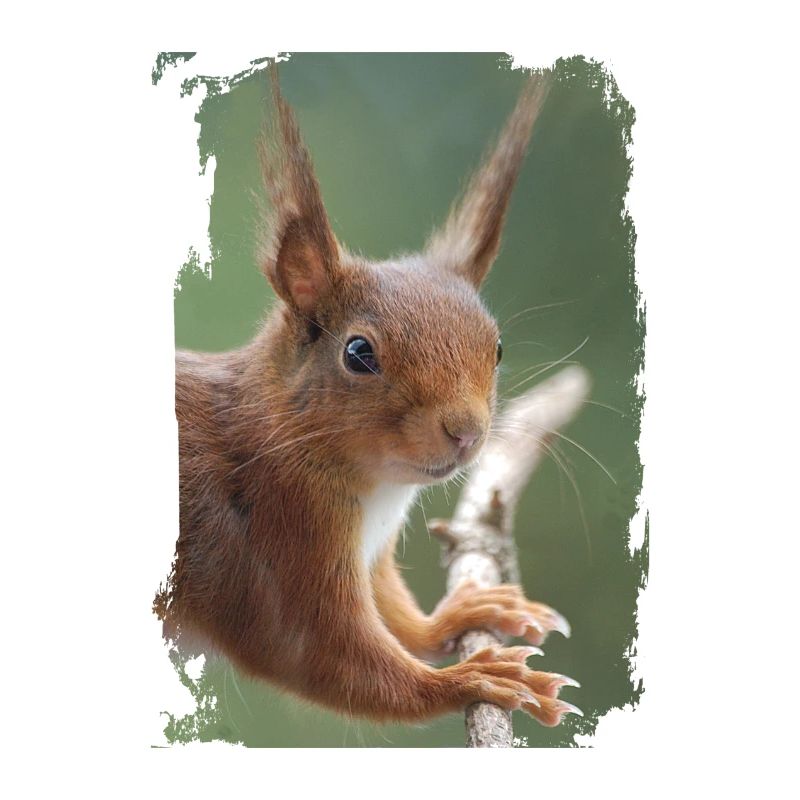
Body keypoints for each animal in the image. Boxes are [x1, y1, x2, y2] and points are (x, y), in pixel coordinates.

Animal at [158, 66, 581, 727]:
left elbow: (398, 618)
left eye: (498, 348)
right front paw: (472, 680)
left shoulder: (371, 552)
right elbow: (323, 656)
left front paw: (466, 613)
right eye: (359, 354)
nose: (465, 432)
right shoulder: (275, 543)